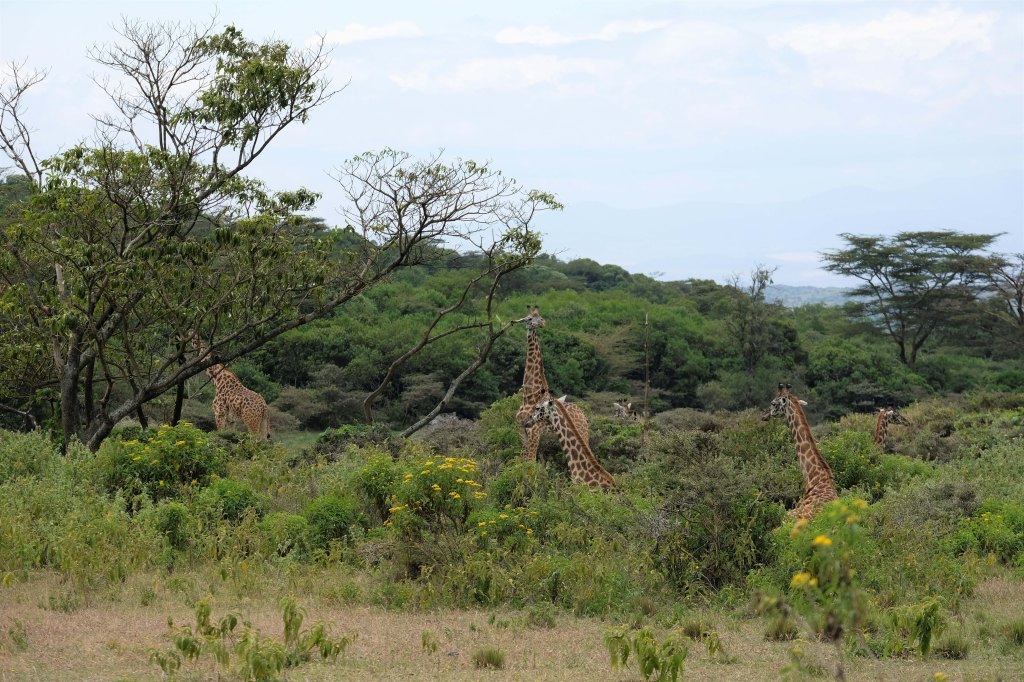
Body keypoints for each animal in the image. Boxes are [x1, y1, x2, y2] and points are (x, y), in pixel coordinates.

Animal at [513, 307, 589, 460]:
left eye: (539, 316)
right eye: (529, 318)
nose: (542, 322)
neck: (529, 396)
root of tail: (584, 415)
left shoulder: (534, 433)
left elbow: (530, 461)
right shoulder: (522, 432)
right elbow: (523, 461)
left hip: (583, 434)